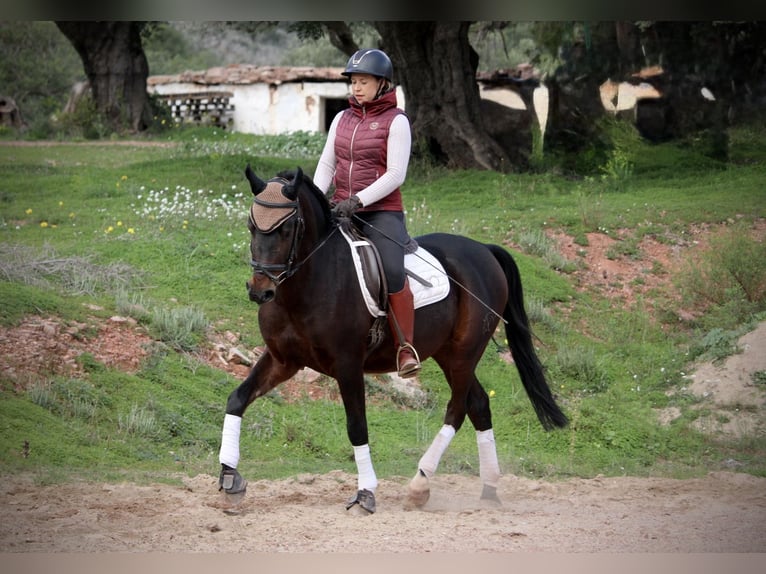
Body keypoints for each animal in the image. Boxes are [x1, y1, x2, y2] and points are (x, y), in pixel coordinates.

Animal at [217, 166, 568, 514]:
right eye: (251, 225)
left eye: (287, 229)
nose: (260, 291)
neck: (306, 285)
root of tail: (484, 250)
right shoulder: (283, 360)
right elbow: (237, 399)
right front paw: (230, 478)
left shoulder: (348, 365)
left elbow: (357, 426)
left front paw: (365, 493)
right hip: (447, 354)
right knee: (479, 405)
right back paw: (489, 490)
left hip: (464, 353)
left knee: (457, 409)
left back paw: (420, 484)